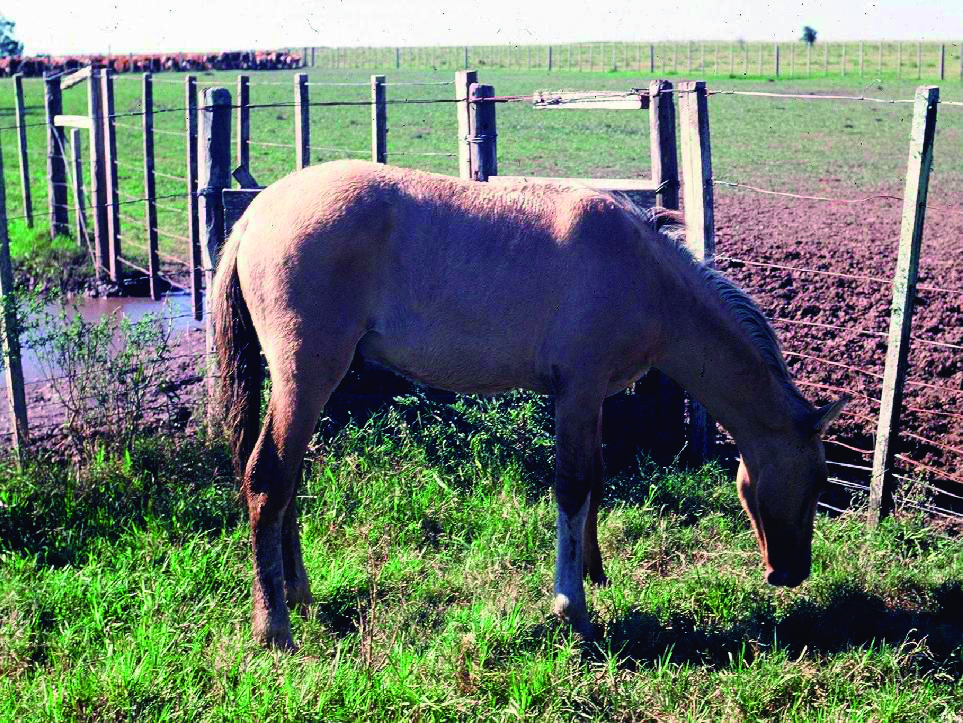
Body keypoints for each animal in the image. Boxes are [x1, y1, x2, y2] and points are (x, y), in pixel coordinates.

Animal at [215, 161, 848, 648]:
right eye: (818, 481)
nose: (791, 572)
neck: (646, 275)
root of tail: (255, 215)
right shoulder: (577, 391)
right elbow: (571, 485)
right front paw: (573, 608)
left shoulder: (590, 398)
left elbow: (595, 479)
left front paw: (594, 570)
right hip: (306, 376)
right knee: (268, 478)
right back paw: (274, 626)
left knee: (288, 480)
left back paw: (297, 593)